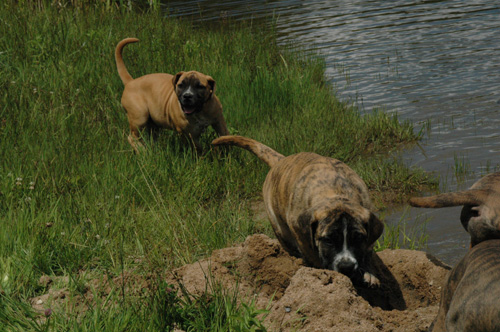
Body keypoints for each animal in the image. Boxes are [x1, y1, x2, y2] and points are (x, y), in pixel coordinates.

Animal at [213, 136, 384, 286]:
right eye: (328, 240)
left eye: (358, 238)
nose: (346, 267)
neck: (336, 193)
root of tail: (281, 160)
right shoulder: (300, 231)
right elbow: (311, 253)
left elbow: (368, 250)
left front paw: (369, 272)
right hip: (280, 228)